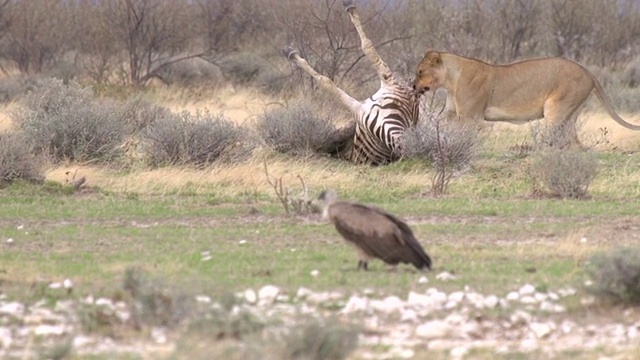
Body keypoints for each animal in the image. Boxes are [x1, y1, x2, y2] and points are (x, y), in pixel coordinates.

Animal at [282, 0, 422, 166]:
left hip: (370, 115)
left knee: (330, 81)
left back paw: (291, 54)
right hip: (385, 101)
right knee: (371, 50)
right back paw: (350, 8)